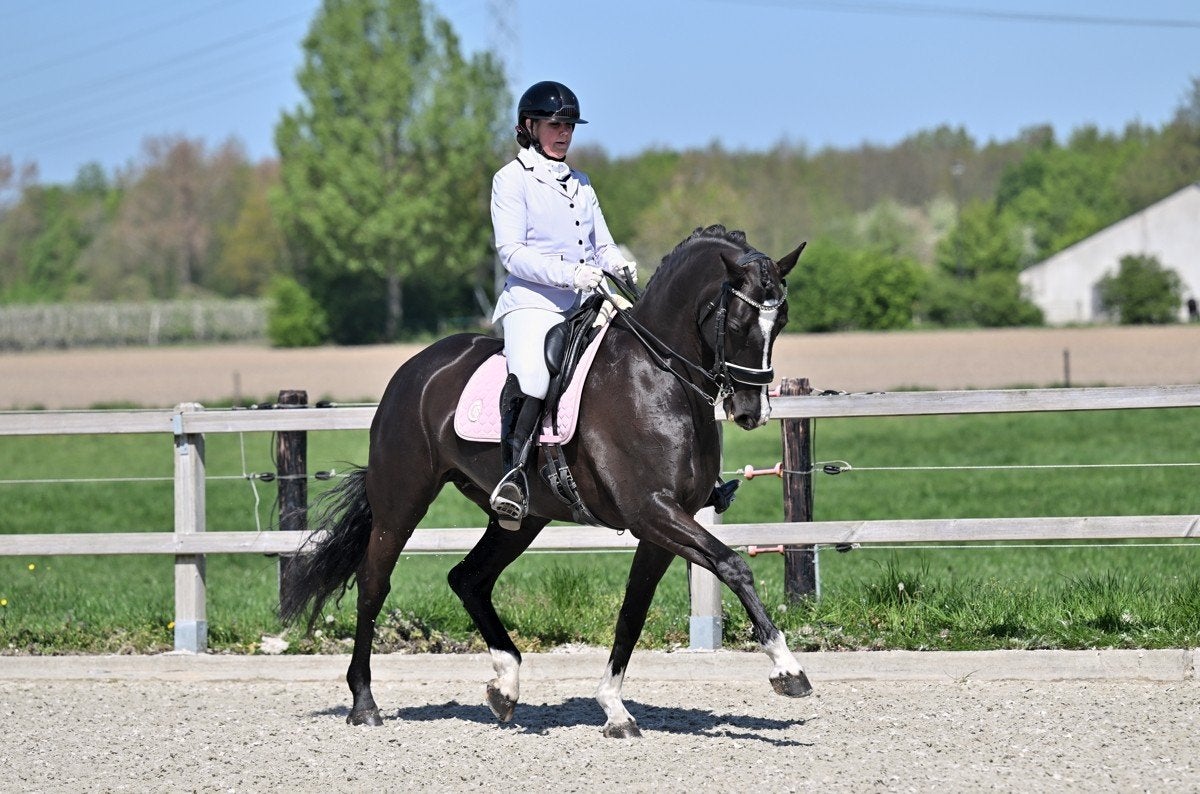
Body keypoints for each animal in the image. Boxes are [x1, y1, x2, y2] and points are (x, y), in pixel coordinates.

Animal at [280, 224, 811, 738]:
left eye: (782, 321)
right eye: (738, 323)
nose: (751, 412)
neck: (657, 377)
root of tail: (415, 370)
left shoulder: (661, 525)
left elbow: (633, 610)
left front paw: (614, 708)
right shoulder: (652, 512)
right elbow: (733, 566)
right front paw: (788, 671)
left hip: (521, 518)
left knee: (468, 578)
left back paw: (505, 685)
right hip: (402, 502)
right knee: (374, 583)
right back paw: (364, 703)